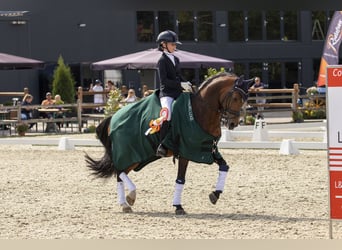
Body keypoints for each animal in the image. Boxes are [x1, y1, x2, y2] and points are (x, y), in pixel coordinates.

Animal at [84, 72, 252, 215]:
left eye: (245, 99)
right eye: (235, 98)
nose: (233, 124)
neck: (200, 111)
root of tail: (113, 117)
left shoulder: (207, 150)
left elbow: (224, 167)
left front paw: (215, 194)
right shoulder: (186, 153)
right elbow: (180, 179)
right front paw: (178, 207)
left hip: (134, 157)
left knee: (119, 174)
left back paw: (125, 204)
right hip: (129, 154)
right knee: (119, 171)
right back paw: (130, 197)